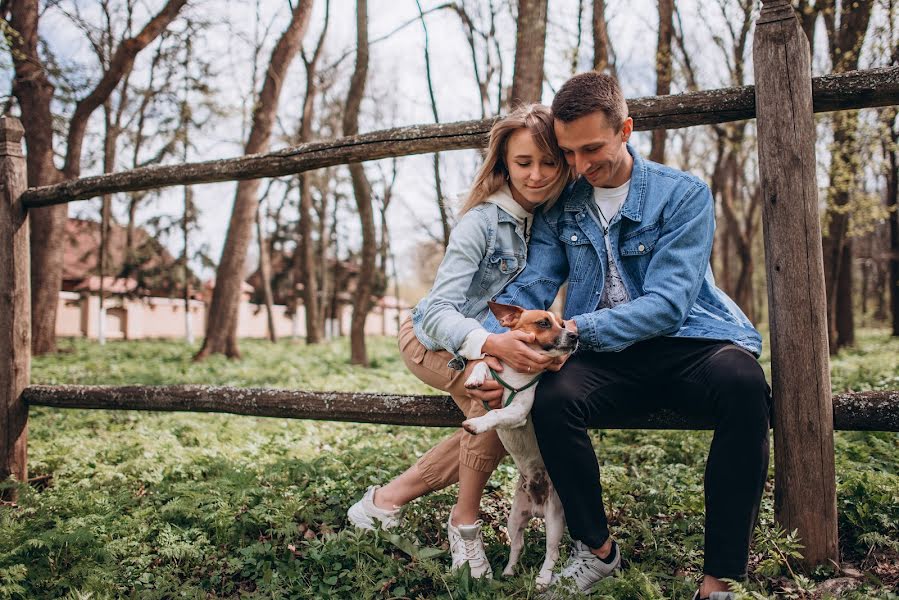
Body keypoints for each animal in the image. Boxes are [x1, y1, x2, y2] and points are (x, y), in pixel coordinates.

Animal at [460, 300, 580, 584]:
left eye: (563, 323)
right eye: (544, 323)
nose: (574, 336)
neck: (517, 374)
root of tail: (536, 509)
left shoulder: (518, 412)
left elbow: (496, 414)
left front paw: (477, 424)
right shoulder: (497, 369)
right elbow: (484, 362)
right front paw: (474, 378)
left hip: (555, 520)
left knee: (552, 552)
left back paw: (543, 580)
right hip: (514, 519)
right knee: (518, 545)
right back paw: (508, 571)